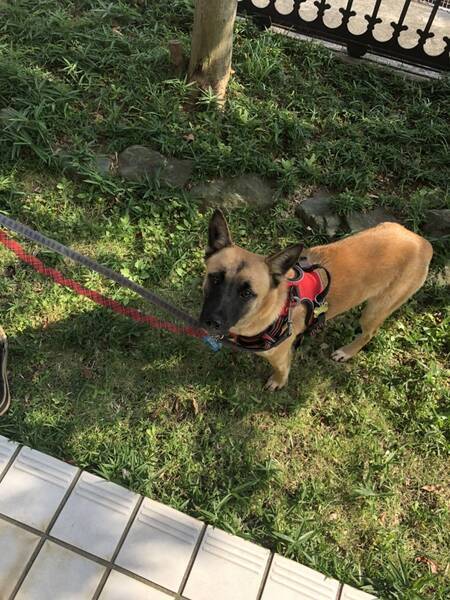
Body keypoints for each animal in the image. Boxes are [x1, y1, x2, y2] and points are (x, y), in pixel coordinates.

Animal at [199, 209, 433, 391]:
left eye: (247, 293)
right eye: (215, 278)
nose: (210, 322)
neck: (274, 306)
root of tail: (423, 242)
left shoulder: (280, 356)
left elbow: (280, 369)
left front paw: (278, 382)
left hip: (375, 311)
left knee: (369, 334)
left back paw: (346, 352)